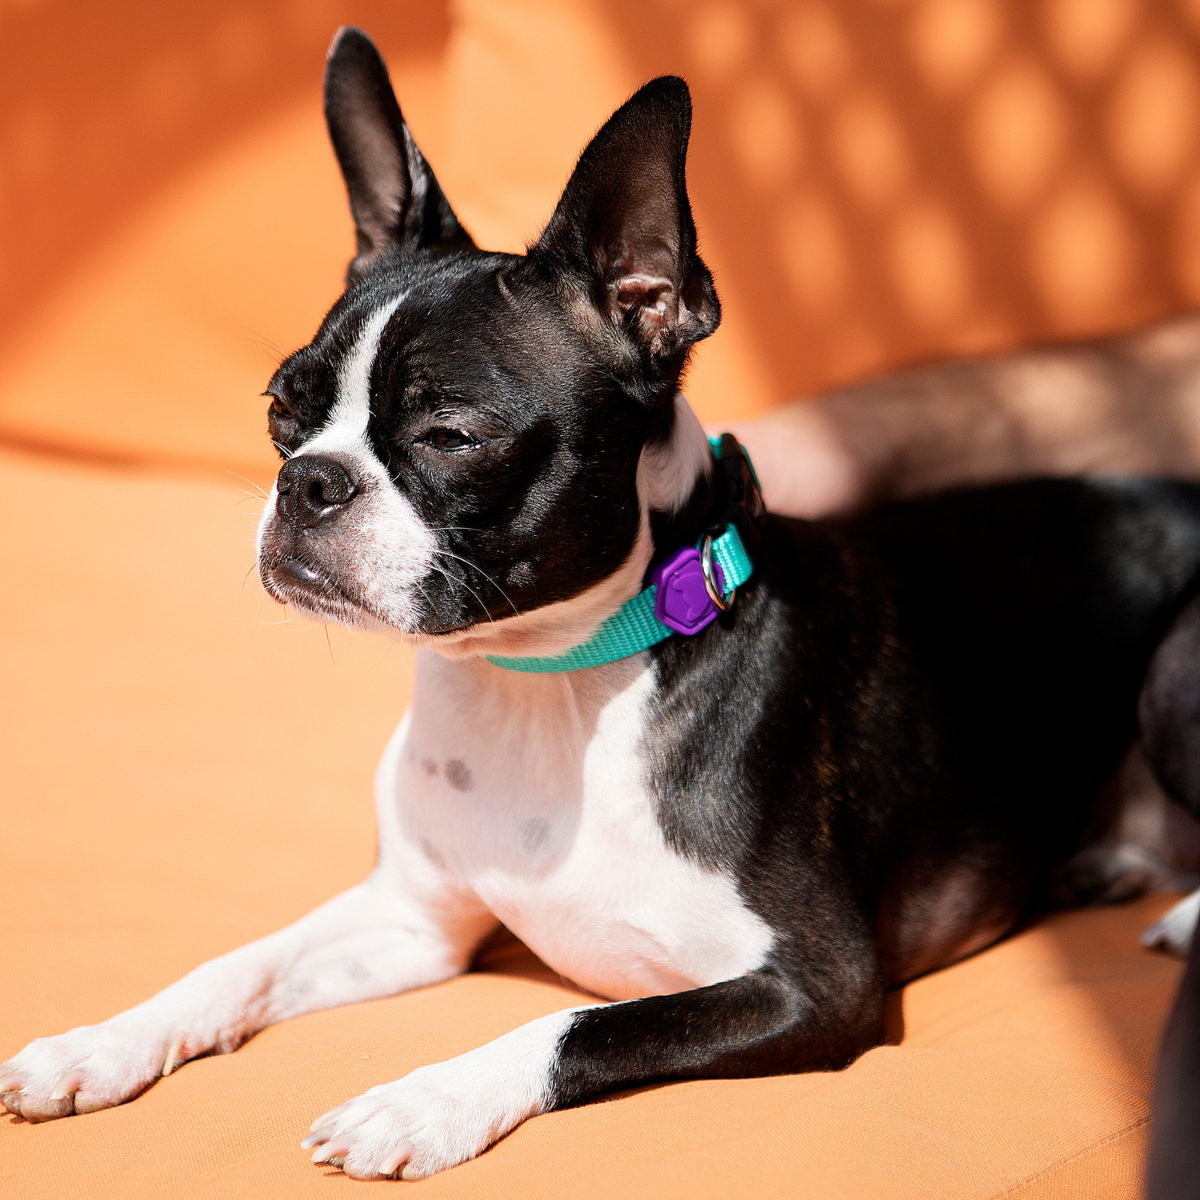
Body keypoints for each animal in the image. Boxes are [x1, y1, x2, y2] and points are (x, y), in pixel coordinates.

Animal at [7, 25, 1200, 1180]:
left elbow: (575, 1025)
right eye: (280, 413)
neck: (543, 680)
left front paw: (423, 1100)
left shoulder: (818, 986)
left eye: (451, 435)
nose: (310, 482)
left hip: (1172, 679)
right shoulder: (411, 921)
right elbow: (239, 963)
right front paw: (99, 1044)